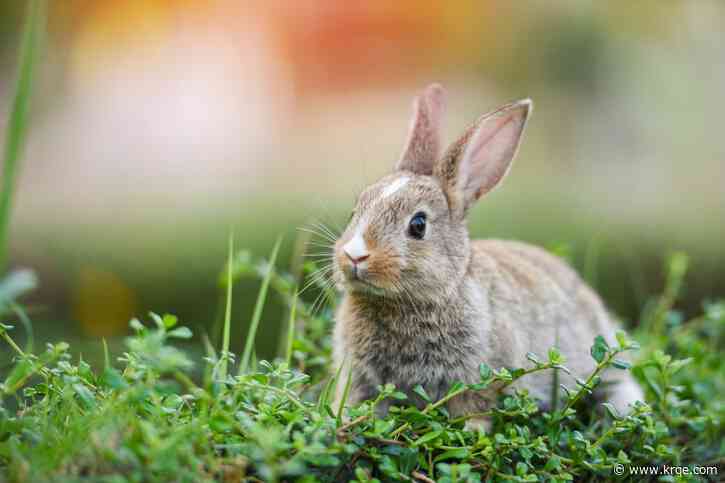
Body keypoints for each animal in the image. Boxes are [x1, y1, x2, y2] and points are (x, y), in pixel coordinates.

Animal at [328, 84, 640, 428]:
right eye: (355, 211)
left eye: (418, 225)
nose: (354, 255)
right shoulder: (360, 379)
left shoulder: (481, 377)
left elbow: (475, 408)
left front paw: (472, 431)